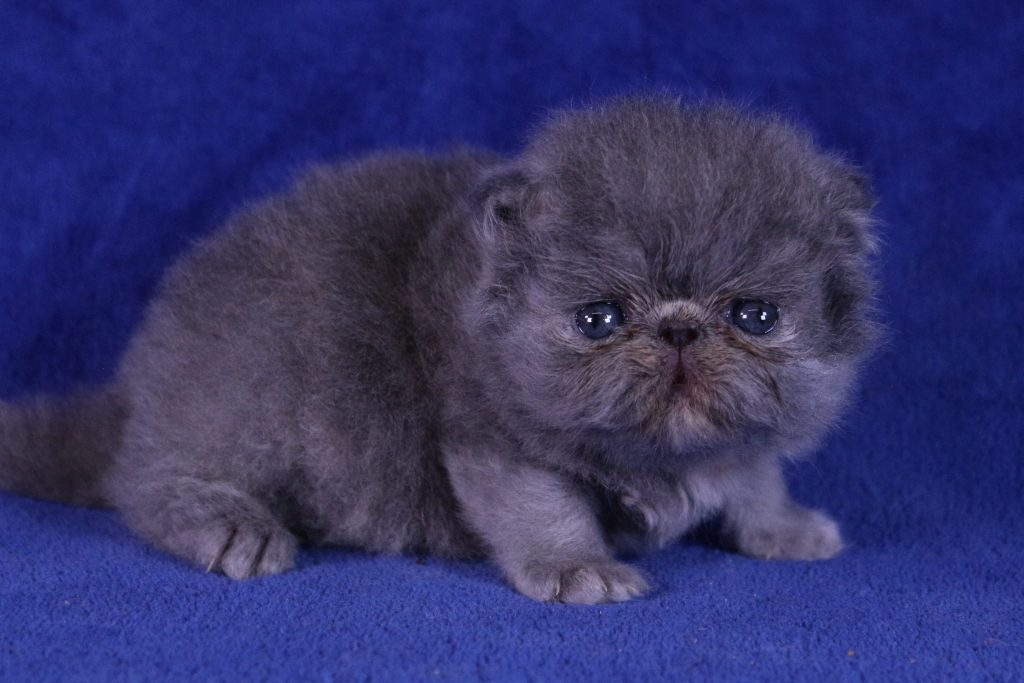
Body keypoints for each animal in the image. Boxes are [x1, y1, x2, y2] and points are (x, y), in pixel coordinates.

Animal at [0, 96, 878, 603]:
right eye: (598, 318)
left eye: (755, 315)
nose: (680, 328)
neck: (661, 455)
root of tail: (135, 389)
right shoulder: (494, 438)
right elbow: (544, 508)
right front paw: (579, 569)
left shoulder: (741, 442)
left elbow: (754, 473)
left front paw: (784, 525)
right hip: (256, 392)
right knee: (145, 482)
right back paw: (231, 525)